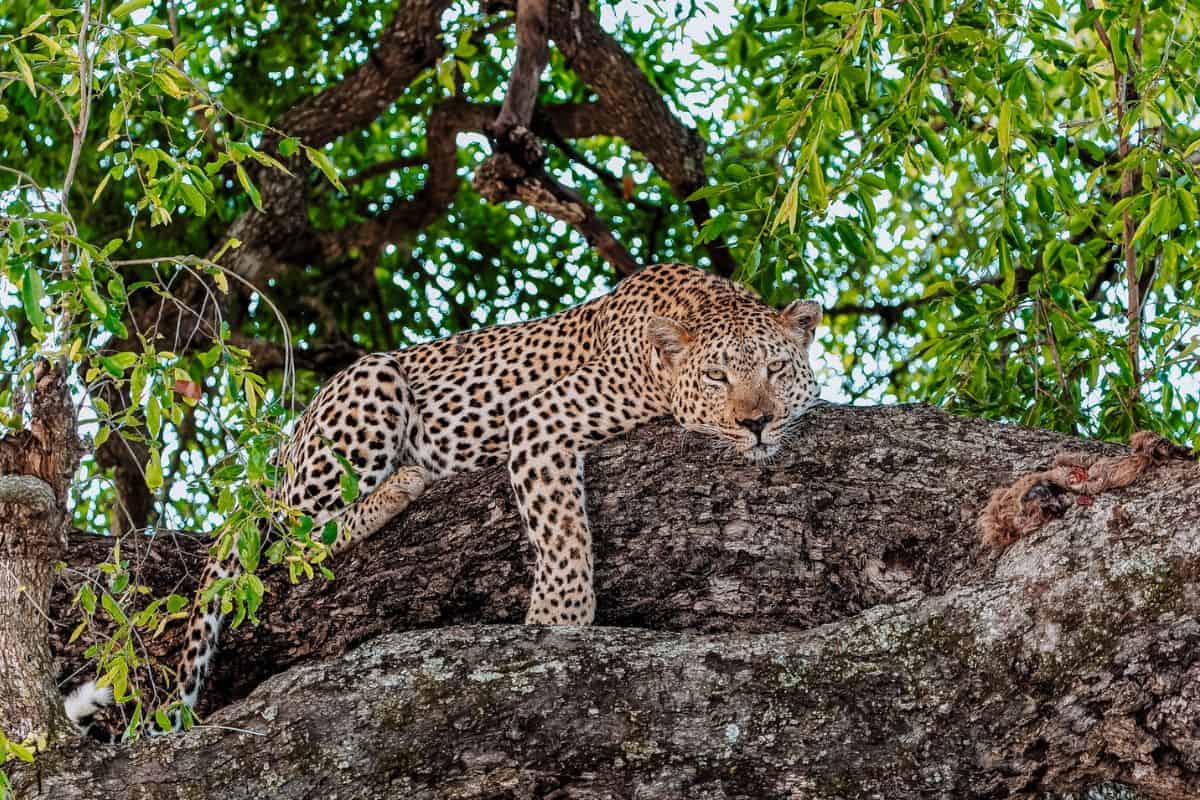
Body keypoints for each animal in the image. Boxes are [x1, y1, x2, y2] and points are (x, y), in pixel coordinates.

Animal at [64, 261, 822, 732]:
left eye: (776, 371)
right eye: (718, 378)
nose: (755, 423)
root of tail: (283, 446)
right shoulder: (540, 420)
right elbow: (561, 528)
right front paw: (560, 618)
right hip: (370, 386)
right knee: (284, 539)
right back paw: (400, 484)